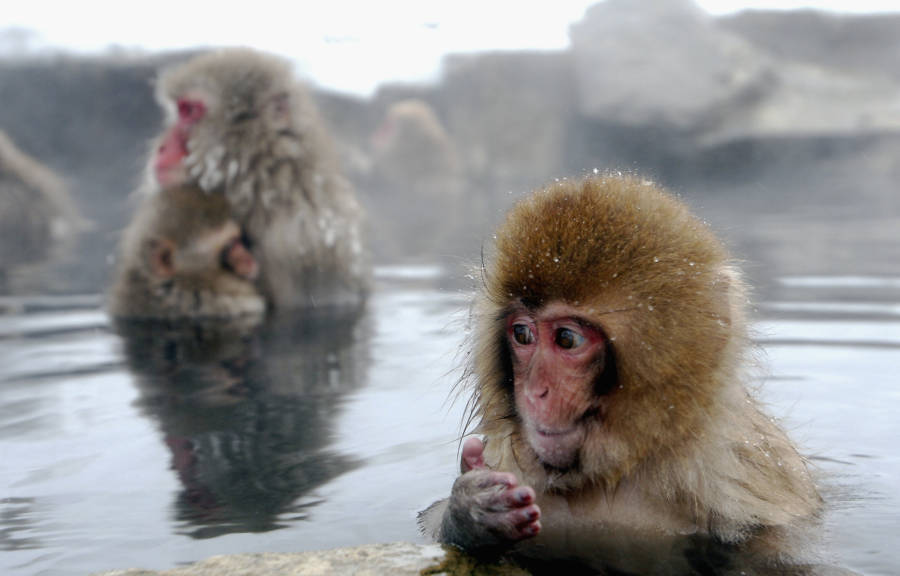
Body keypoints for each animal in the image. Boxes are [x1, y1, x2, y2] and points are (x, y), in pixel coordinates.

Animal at [422, 176, 824, 576]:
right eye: (522, 334)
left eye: (567, 339)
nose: (535, 392)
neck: (613, 475)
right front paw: (473, 512)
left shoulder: (750, 487)